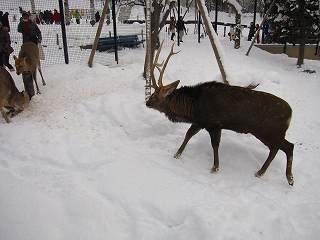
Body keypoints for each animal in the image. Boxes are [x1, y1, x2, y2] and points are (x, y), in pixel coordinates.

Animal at [146, 41, 294, 186]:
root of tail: (290, 114)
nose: (147, 102)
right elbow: (188, 134)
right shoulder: (200, 122)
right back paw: (260, 172)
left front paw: (215, 167)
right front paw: (177, 154)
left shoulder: (214, 123)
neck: (193, 107)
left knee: (289, 146)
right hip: (265, 133)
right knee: (274, 149)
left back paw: (290, 178)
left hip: (269, 131)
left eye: (154, 96)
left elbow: (215, 144)